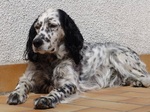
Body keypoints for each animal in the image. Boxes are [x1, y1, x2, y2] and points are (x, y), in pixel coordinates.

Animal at [7, 9, 150, 109]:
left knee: (146, 77)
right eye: (37, 26)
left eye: (52, 25)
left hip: (118, 56)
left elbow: (57, 90)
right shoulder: (30, 77)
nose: (36, 42)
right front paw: (16, 94)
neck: (50, 60)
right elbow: (22, 84)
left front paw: (46, 99)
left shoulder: (69, 83)